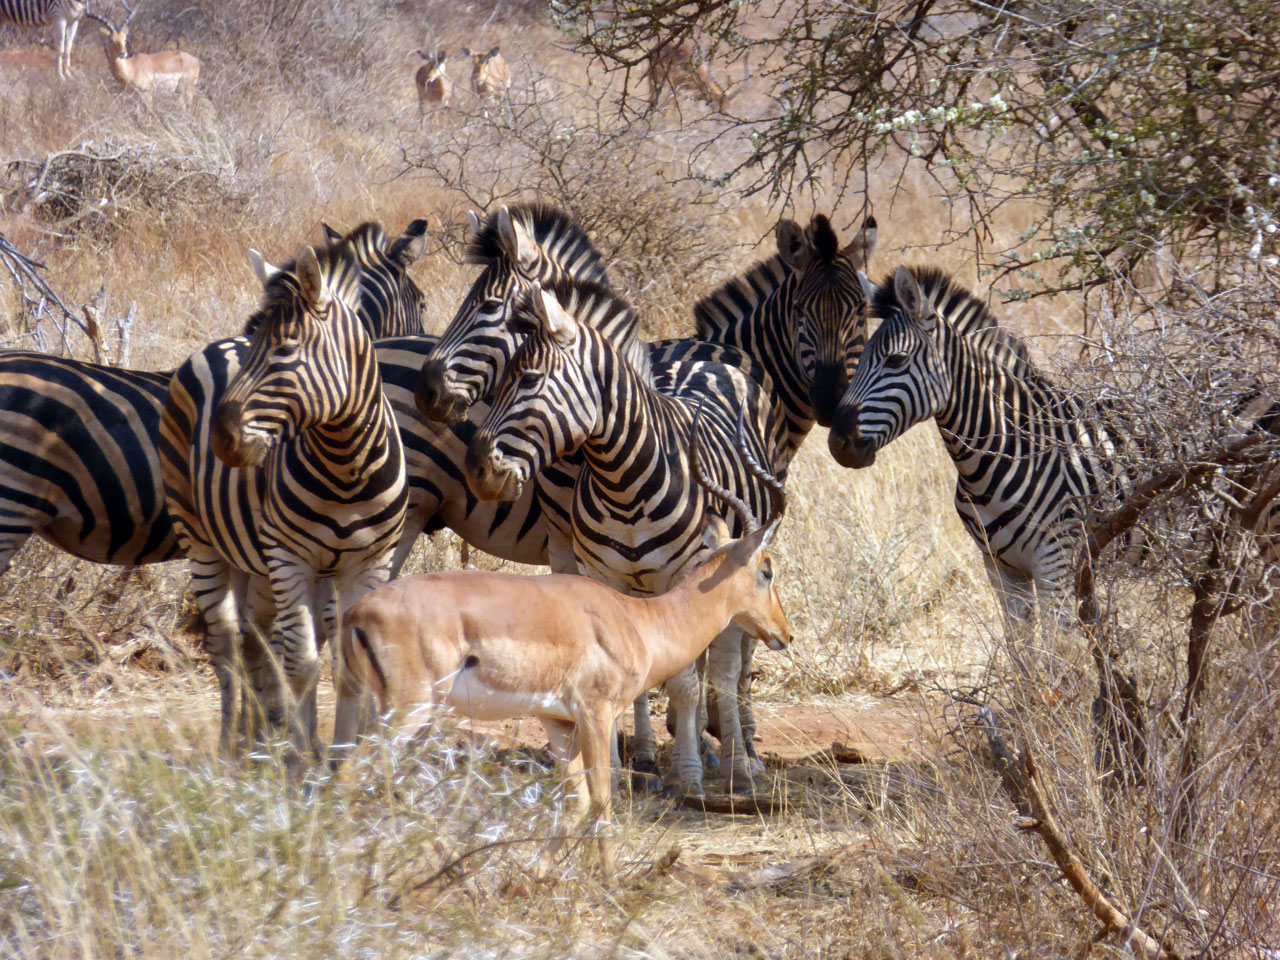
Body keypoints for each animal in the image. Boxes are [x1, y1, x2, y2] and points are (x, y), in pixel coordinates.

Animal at [160, 240, 407, 757]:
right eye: (255, 346)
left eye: (286, 349)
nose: (222, 441)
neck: (347, 467)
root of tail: (214, 345)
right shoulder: (291, 557)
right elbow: (302, 663)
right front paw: (299, 760)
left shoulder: (369, 561)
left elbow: (352, 661)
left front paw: (346, 756)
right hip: (202, 540)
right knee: (228, 643)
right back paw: (232, 748)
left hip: (267, 563)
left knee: (257, 635)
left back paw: (258, 739)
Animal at [465, 280, 783, 798]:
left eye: (529, 379)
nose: (477, 472)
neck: (624, 483)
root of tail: (702, 357)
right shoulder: (605, 576)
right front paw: (612, 772)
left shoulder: (687, 572)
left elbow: (686, 682)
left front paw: (689, 777)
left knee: (723, 665)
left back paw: (737, 762)